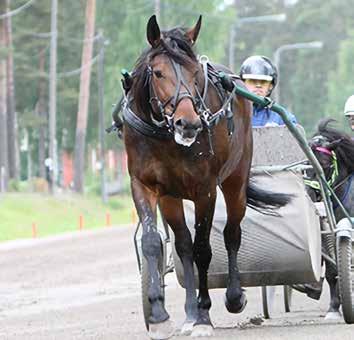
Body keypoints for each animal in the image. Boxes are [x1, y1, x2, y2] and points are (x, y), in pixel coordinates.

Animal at [123, 15, 292, 338]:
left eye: (194, 73)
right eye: (158, 72)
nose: (187, 123)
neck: (167, 138)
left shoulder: (205, 189)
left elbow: (204, 249)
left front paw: (203, 317)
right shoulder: (145, 184)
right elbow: (153, 242)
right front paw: (160, 315)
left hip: (236, 180)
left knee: (232, 234)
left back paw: (233, 296)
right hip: (172, 197)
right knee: (183, 245)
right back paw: (188, 312)